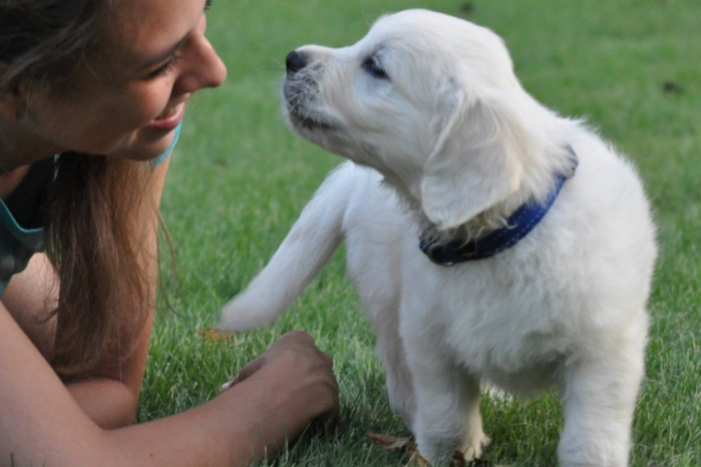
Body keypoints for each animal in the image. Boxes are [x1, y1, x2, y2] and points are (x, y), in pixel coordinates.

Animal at [220, 8, 656, 467]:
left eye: (377, 67)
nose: (293, 58)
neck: (501, 238)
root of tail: (356, 180)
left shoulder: (603, 349)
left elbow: (589, 434)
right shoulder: (430, 340)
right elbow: (445, 417)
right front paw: (443, 452)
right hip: (386, 297)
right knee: (400, 379)